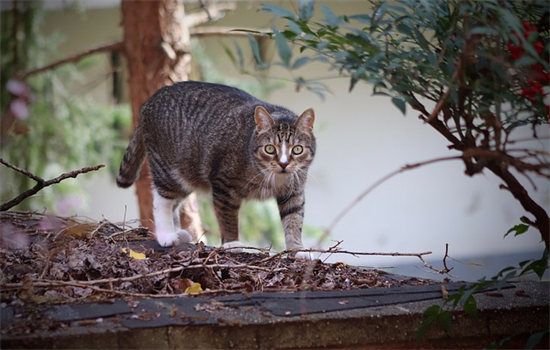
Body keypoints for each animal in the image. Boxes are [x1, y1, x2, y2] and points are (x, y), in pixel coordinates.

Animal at [118, 80, 316, 258]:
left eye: (297, 150)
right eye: (269, 149)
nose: (283, 164)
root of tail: (149, 101)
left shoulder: (294, 192)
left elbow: (294, 220)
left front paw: (297, 249)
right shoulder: (223, 185)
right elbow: (227, 218)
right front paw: (232, 242)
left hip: (186, 176)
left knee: (174, 202)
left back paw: (178, 233)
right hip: (167, 168)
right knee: (162, 200)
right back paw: (166, 234)